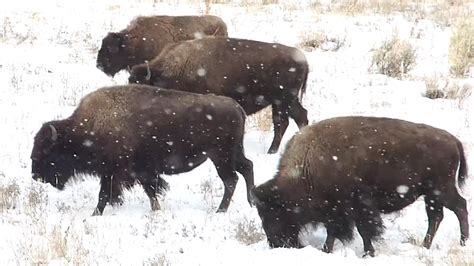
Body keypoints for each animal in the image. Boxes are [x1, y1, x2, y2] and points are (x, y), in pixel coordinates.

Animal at [31, 84, 254, 215]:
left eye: (47, 152)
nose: (35, 176)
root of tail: (236, 107)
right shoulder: (139, 170)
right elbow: (149, 190)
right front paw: (156, 210)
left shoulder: (113, 171)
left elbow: (105, 194)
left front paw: (95, 214)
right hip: (234, 153)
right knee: (247, 167)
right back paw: (251, 202)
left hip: (221, 157)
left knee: (231, 179)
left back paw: (221, 210)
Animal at [128, 37, 310, 154]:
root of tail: (303, 60)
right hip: (286, 101)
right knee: (300, 116)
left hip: (282, 101)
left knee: (282, 122)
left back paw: (272, 151)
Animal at [254, 116, 468, 256]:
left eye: (275, 212)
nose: (276, 243)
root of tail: (454, 140)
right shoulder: (336, 210)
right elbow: (334, 231)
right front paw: (327, 250)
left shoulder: (357, 206)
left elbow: (363, 230)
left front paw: (368, 253)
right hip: (431, 195)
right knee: (436, 216)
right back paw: (425, 246)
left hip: (441, 190)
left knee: (460, 206)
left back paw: (463, 243)